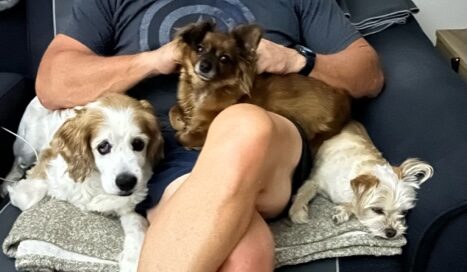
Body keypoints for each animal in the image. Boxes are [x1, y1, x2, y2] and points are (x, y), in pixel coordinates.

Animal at [5, 94, 165, 272]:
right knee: (17, 164)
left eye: (138, 144)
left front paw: (132, 258)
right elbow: (28, 196)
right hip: (25, 148)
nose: (126, 182)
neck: (97, 181)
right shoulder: (48, 160)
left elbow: (137, 226)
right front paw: (14, 189)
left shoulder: (129, 206)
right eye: (103, 146)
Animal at [288, 120, 436, 238]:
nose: (392, 233)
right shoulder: (315, 180)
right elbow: (304, 191)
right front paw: (297, 211)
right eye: (377, 210)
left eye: (404, 212)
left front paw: (343, 211)